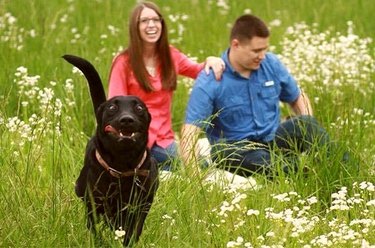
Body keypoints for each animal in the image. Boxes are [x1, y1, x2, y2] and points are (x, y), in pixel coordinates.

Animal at [62, 54, 159, 246]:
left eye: (139, 108)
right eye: (112, 108)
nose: (127, 119)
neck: (122, 166)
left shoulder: (143, 203)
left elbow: (135, 228)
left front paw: (128, 241)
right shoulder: (94, 203)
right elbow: (94, 228)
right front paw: (100, 242)